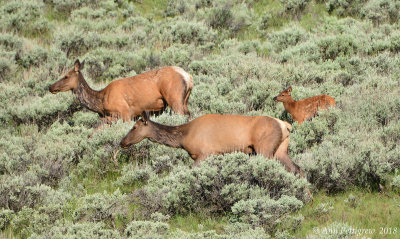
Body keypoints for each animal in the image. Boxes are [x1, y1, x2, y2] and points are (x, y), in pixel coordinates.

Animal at [49, 59, 193, 122]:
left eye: (66, 76)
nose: (50, 87)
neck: (101, 103)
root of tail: (188, 77)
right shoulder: (108, 118)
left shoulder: (125, 112)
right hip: (184, 100)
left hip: (175, 98)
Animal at [119, 112, 304, 176]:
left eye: (134, 127)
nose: (122, 142)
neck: (184, 137)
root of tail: (285, 125)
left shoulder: (204, 153)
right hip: (281, 149)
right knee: (297, 168)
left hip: (264, 148)